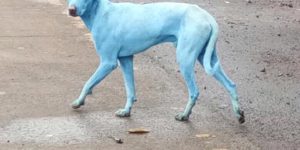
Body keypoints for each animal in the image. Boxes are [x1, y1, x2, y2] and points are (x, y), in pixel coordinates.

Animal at [67, 0, 244, 123]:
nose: (71, 10)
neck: (100, 12)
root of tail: (206, 15)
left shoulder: (108, 62)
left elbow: (88, 83)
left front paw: (78, 102)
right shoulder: (126, 60)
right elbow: (130, 90)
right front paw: (126, 111)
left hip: (185, 59)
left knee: (194, 91)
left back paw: (184, 115)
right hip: (207, 58)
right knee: (230, 84)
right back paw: (239, 114)